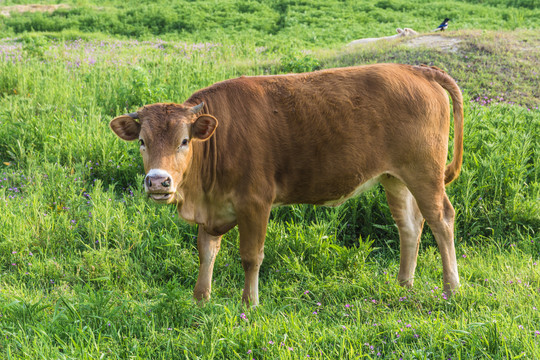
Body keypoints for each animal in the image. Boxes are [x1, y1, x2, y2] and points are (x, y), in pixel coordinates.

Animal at [109, 63, 464, 306]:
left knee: (442, 220)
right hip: (395, 178)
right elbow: (206, 251)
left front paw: (249, 303)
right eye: (142, 141)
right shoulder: (213, 210)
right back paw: (404, 284)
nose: (158, 181)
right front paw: (201, 298)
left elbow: (250, 255)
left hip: (425, 174)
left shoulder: (255, 202)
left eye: (184, 141)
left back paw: (451, 289)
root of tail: (417, 69)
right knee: (410, 226)